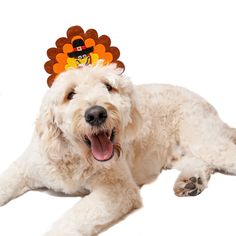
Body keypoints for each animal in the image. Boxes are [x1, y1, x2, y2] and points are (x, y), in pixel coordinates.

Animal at [0, 63, 236, 235]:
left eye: (108, 86)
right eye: (70, 94)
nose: (96, 113)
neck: (75, 156)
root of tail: (208, 104)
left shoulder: (117, 190)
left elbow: (73, 219)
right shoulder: (25, 167)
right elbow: (6, 181)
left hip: (203, 137)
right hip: (177, 153)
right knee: (200, 162)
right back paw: (191, 181)